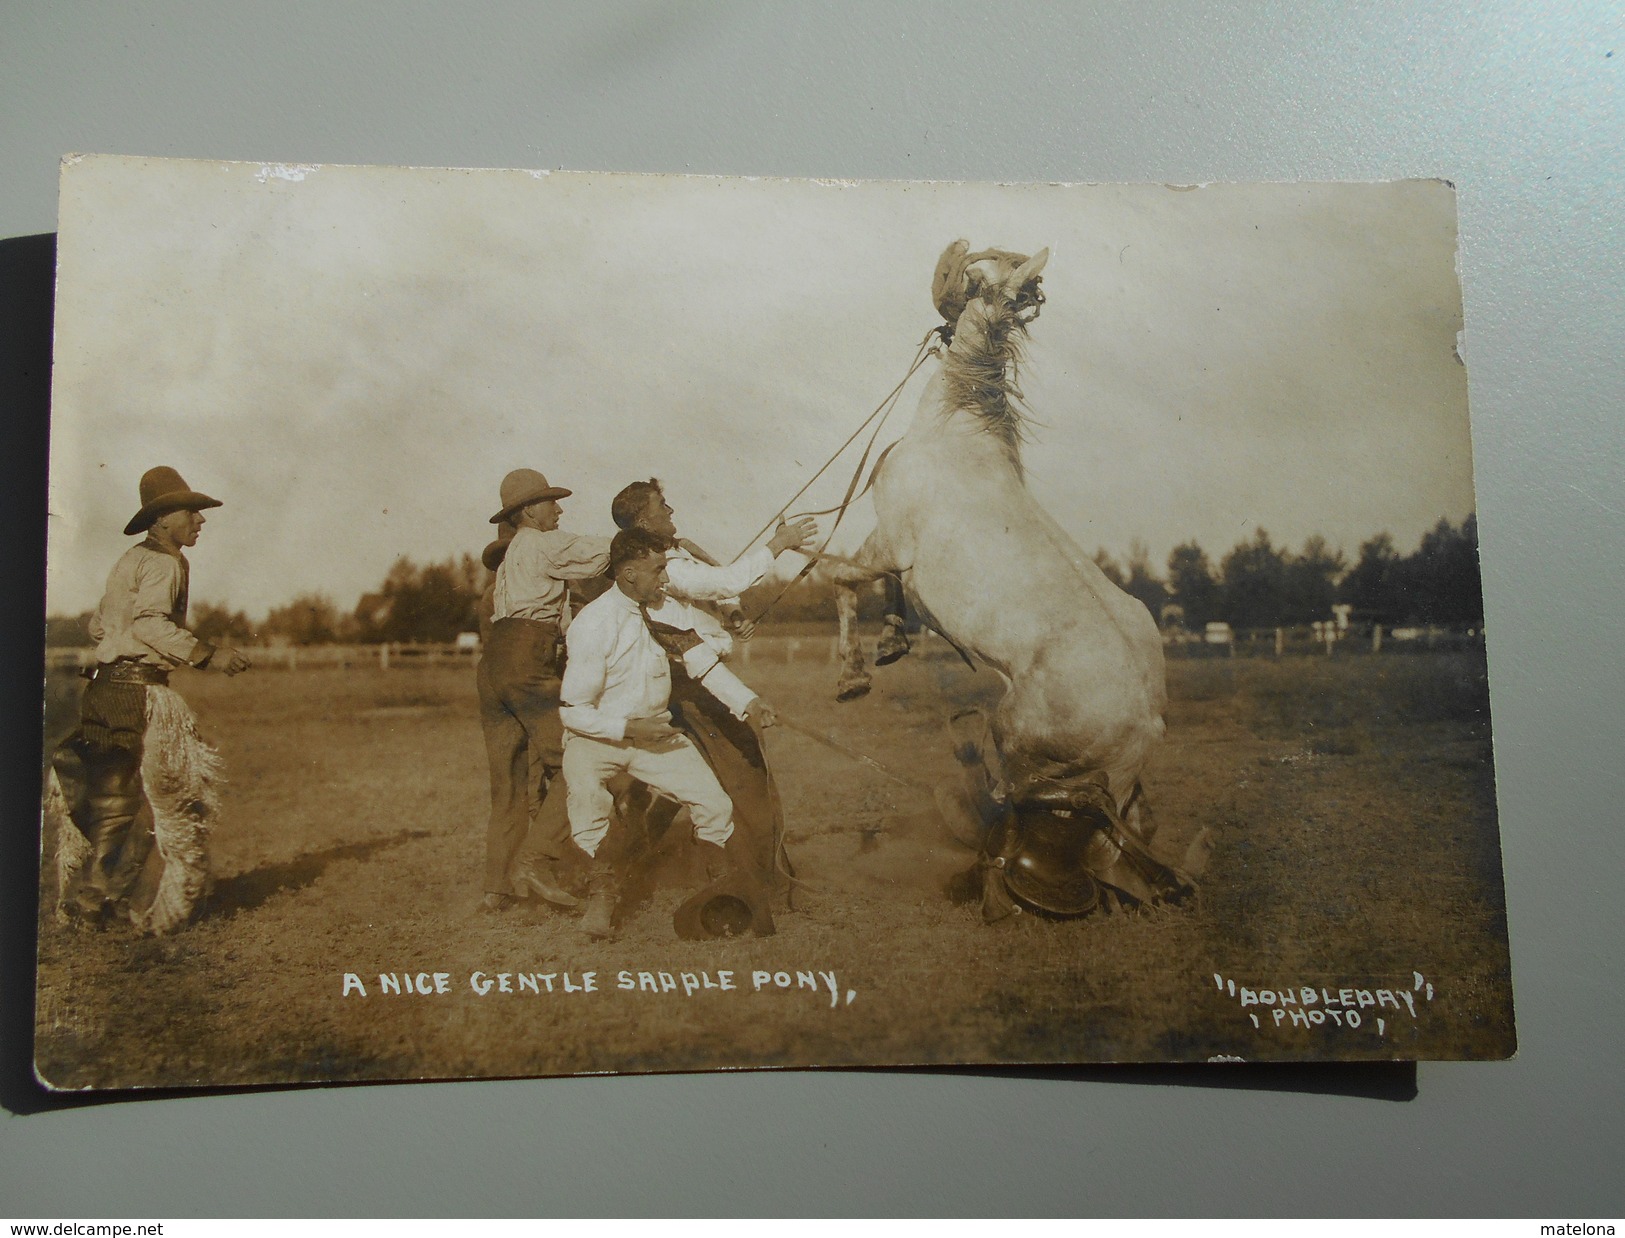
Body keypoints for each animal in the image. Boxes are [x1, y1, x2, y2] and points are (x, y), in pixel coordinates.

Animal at [825, 238, 1196, 916]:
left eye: (977, 272)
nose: (942, 296)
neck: (954, 433)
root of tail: (1143, 723)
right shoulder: (893, 555)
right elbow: (886, 595)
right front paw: (889, 642)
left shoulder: (887, 542)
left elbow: (839, 580)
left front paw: (852, 676)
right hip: (1113, 782)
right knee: (1121, 831)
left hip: (1019, 734)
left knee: (1046, 802)